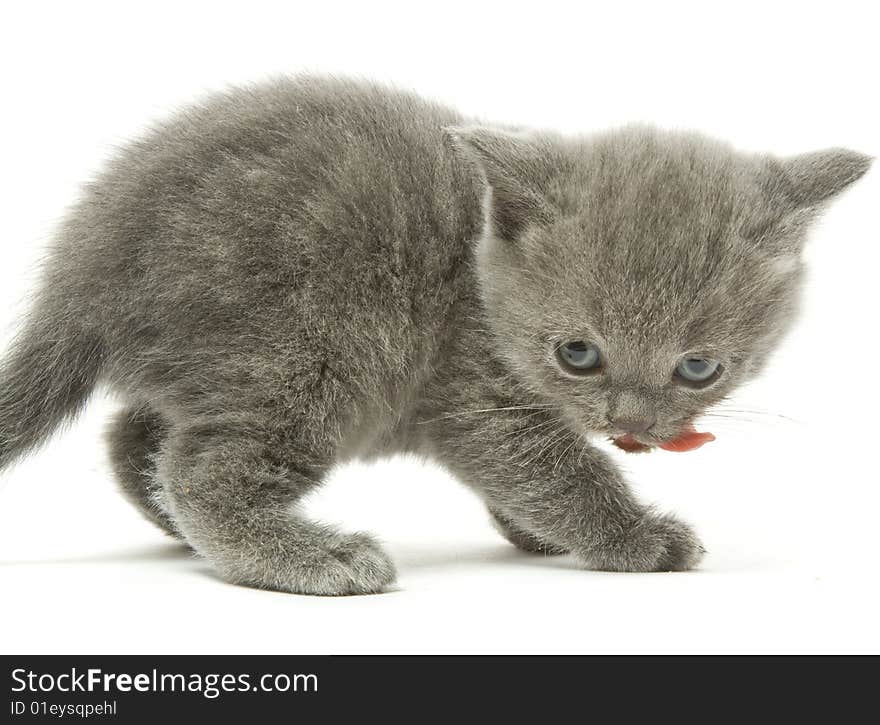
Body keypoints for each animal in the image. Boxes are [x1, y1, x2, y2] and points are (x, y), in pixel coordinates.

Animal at [0, 78, 868, 592]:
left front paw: (539, 531)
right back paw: (313, 556)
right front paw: (636, 537)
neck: (479, 272)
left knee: (134, 436)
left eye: (698, 368)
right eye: (578, 353)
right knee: (201, 468)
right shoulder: (474, 392)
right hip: (304, 358)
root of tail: (83, 265)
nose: (632, 424)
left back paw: (180, 531)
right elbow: (556, 467)